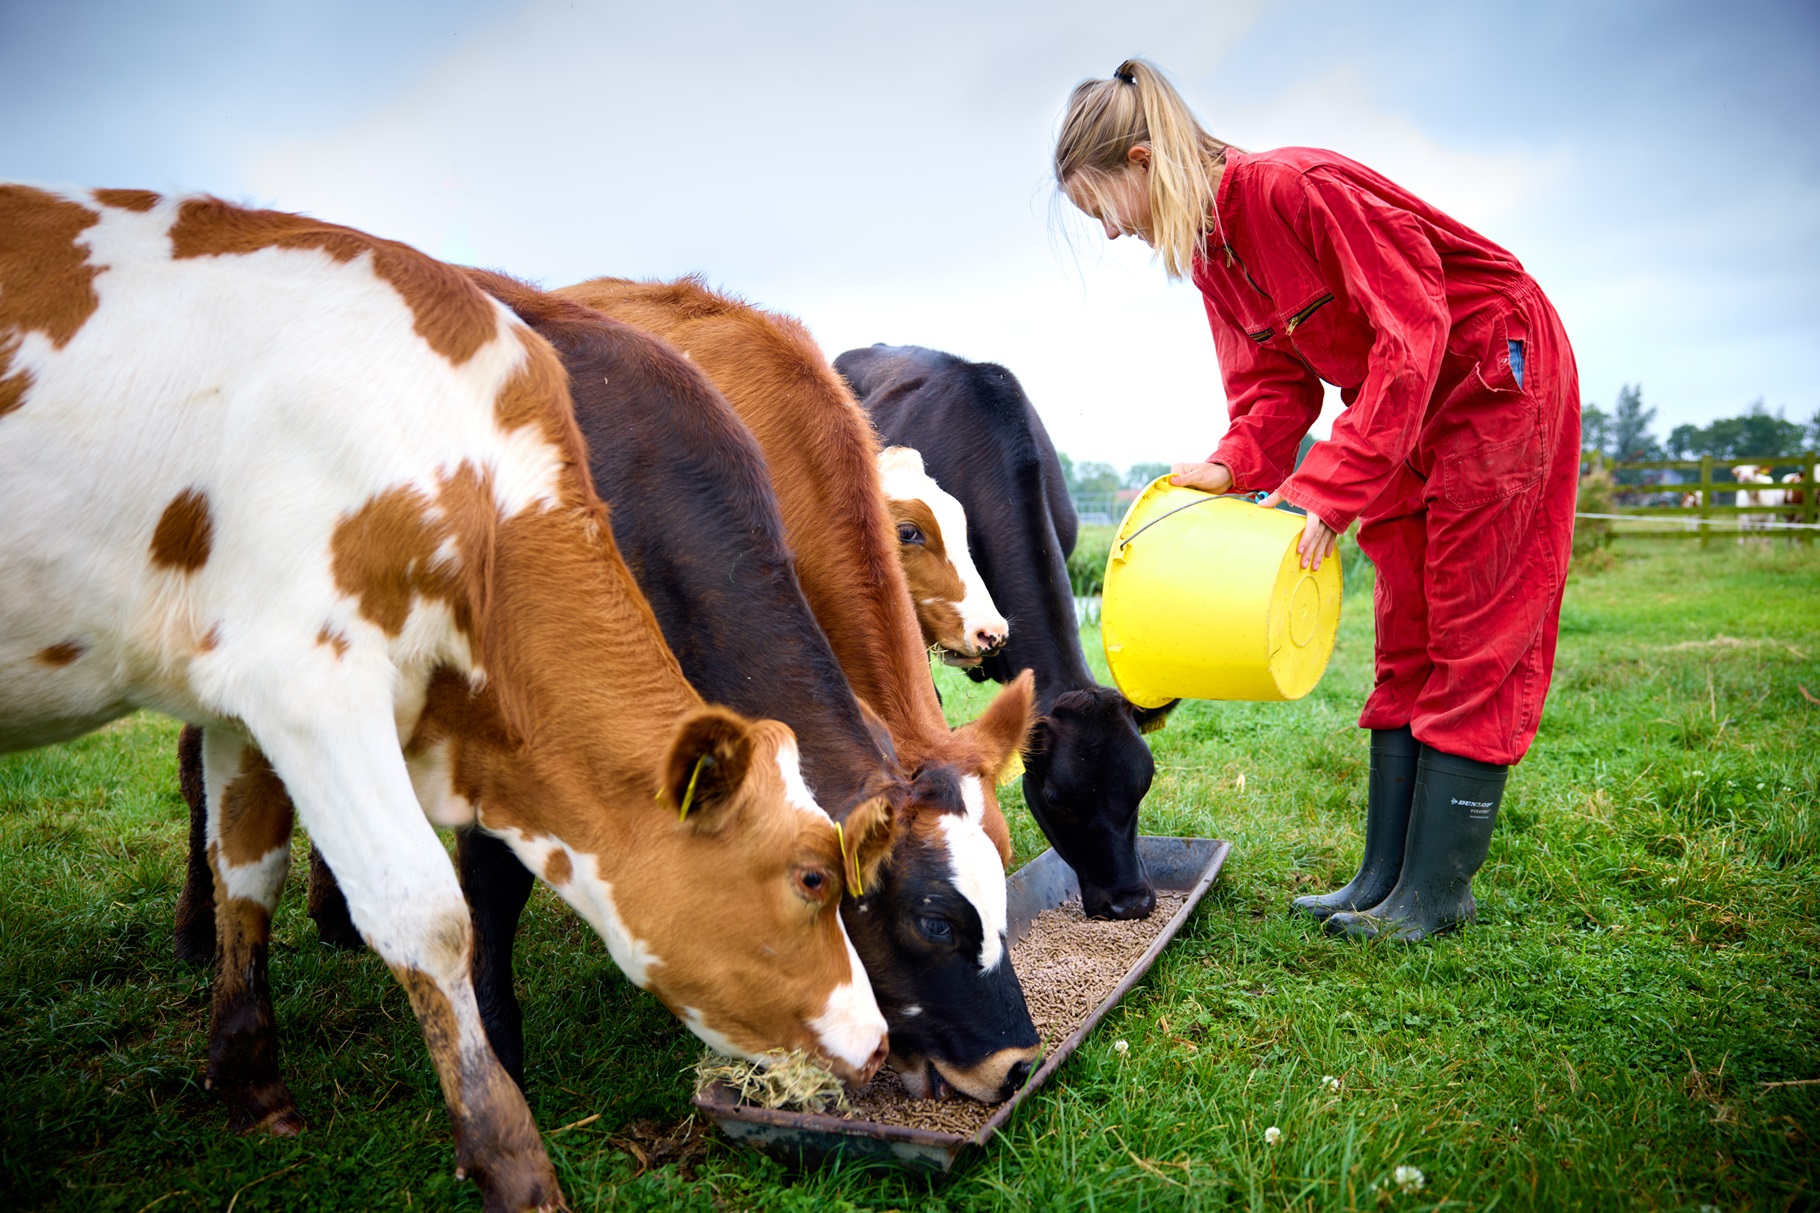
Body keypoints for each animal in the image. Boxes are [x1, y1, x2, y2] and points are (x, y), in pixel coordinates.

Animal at [0, 187, 887, 1211]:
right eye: (818, 881)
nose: (882, 1046)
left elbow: (251, 859)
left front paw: (251, 1078)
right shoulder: (321, 680)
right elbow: (443, 907)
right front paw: (508, 1122)